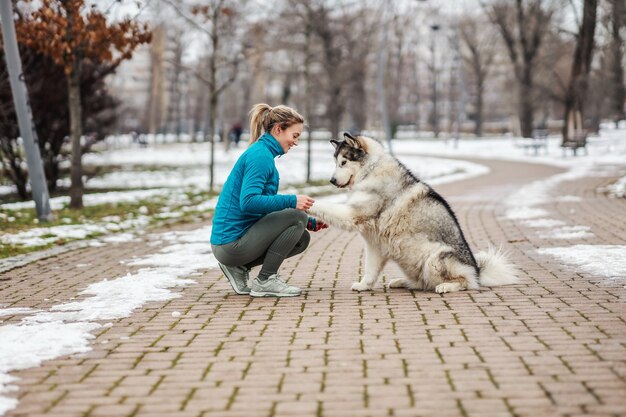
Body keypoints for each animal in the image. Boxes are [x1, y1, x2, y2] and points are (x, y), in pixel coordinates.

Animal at [308, 132, 516, 292]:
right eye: (336, 162)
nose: (331, 181)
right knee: (423, 283)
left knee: (464, 282)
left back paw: (446, 286)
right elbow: (370, 269)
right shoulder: (374, 244)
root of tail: (477, 271)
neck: (371, 170)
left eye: (343, 162)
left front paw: (306, 200)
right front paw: (364, 285)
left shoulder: (353, 214)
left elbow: (326, 206)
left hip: (434, 260)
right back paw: (402, 282)